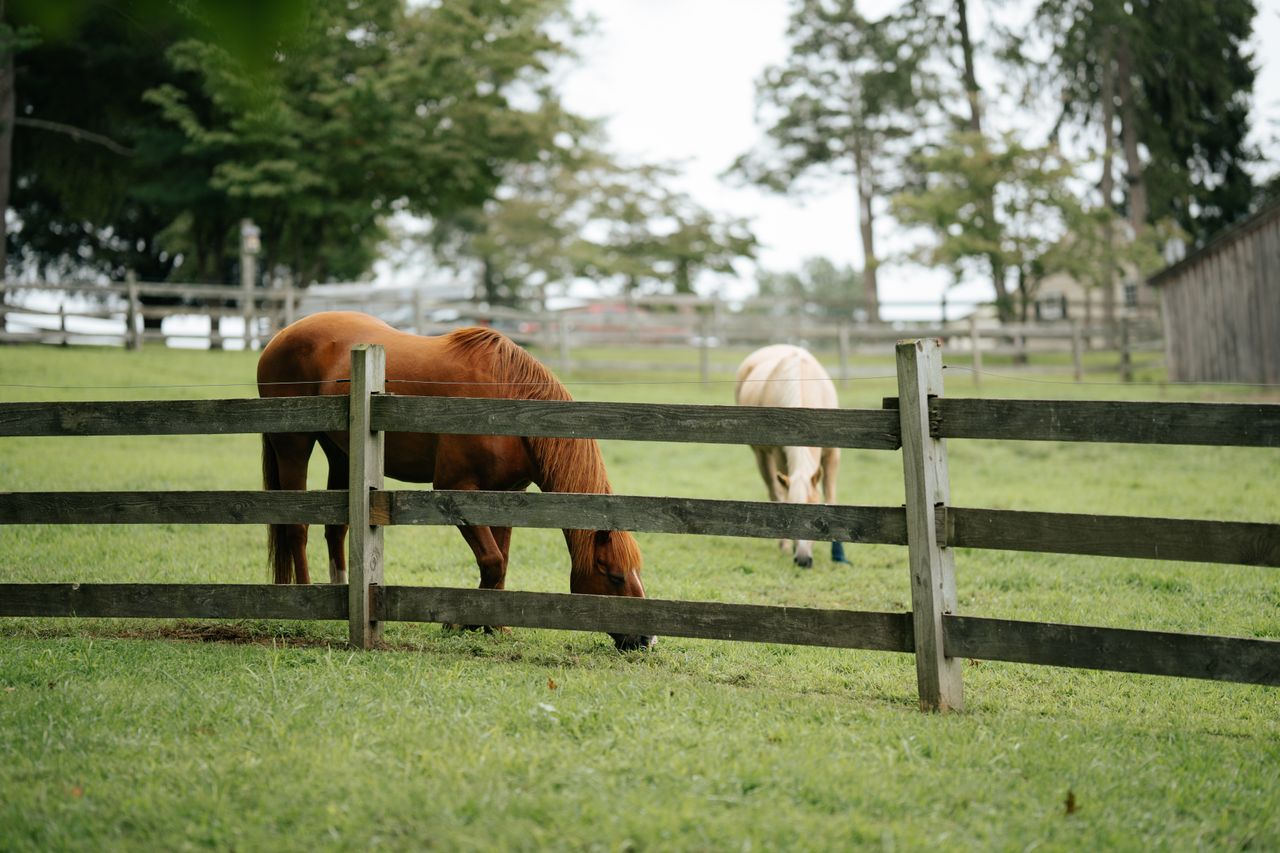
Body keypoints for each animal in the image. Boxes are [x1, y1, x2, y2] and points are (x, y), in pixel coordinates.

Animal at [256, 311, 654, 651]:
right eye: (614, 576)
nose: (646, 640)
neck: (508, 404)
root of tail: (281, 335)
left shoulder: (504, 495)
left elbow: (501, 561)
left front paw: (494, 625)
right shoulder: (455, 490)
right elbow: (492, 560)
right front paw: (463, 622)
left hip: (340, 453)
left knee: (335, 528)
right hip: (293, 446)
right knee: (296, 527)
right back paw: (305, 596)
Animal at [734, 344, 847, 568]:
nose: (803, 560)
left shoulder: (833, 453)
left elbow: (831, 497)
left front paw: (838, 554)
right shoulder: (780, 454)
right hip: (761, 454)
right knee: (775, 492)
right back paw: (783, 545)